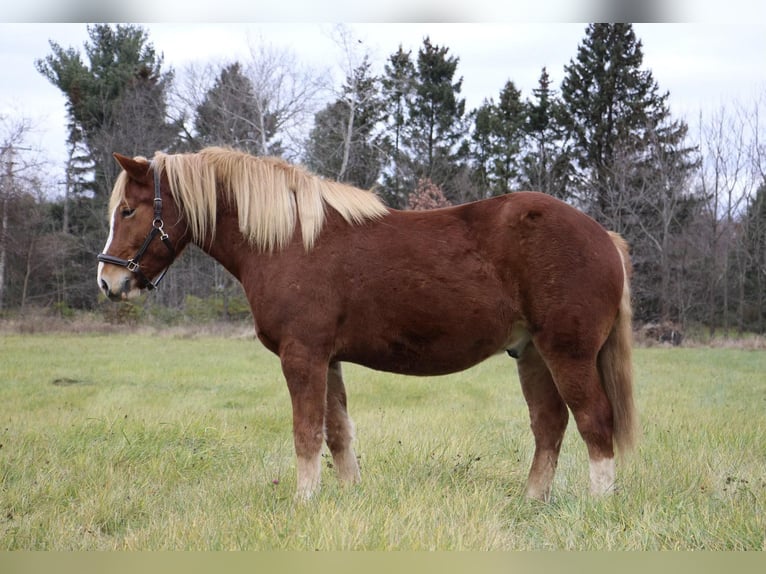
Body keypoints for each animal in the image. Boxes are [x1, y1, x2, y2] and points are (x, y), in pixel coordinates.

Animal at [96, 146, 640, 502]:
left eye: (128, 210)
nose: (108, 281)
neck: (290, 240)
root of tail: (604, 237)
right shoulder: (327, 359)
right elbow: (338, 431)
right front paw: (348, 496)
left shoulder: (303, 356)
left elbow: (307, 431)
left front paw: (304, 502)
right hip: (531, 354)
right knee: (549, 425)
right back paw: (531, 501)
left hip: (567, 352)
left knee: (594, 421)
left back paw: (598, 504)